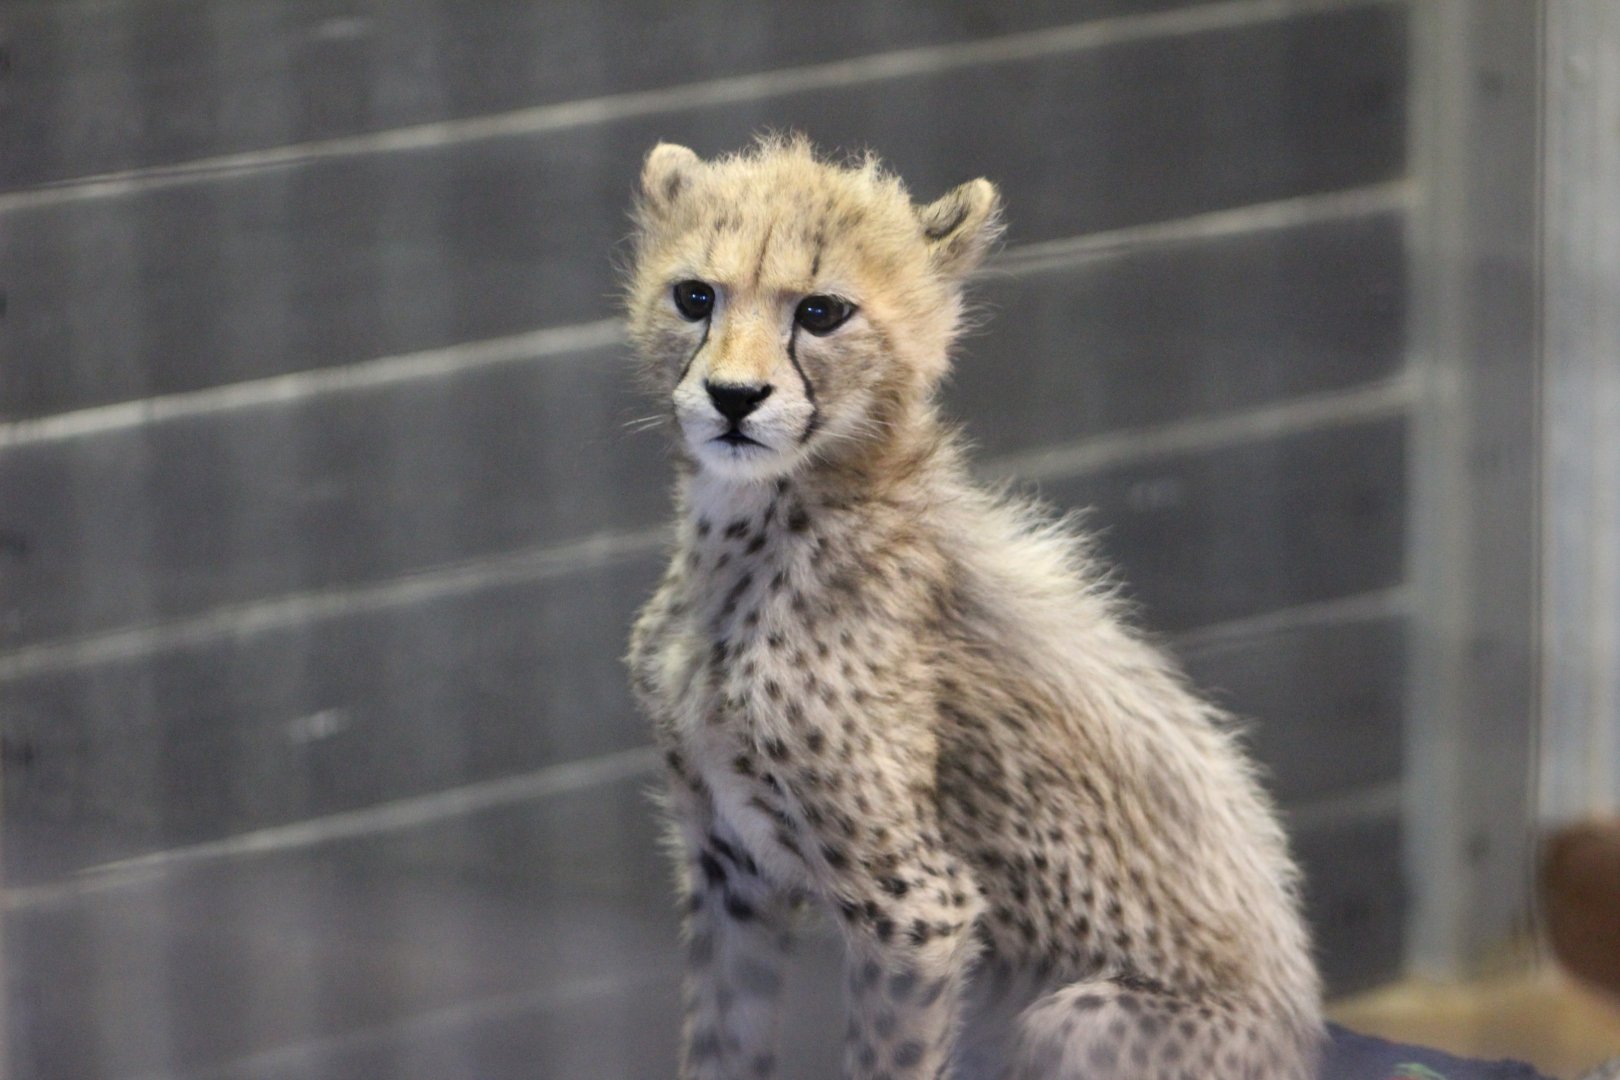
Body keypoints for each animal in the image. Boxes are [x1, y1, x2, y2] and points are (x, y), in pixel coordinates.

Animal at [624, 135, 1323, 1080]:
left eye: (821, 312)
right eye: (695, 296)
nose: (735, 398)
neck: (749, 530)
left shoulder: (919, 907)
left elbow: (887, 1058)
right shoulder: (731, 869)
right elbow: (719, 1043)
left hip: (1074, 1017)